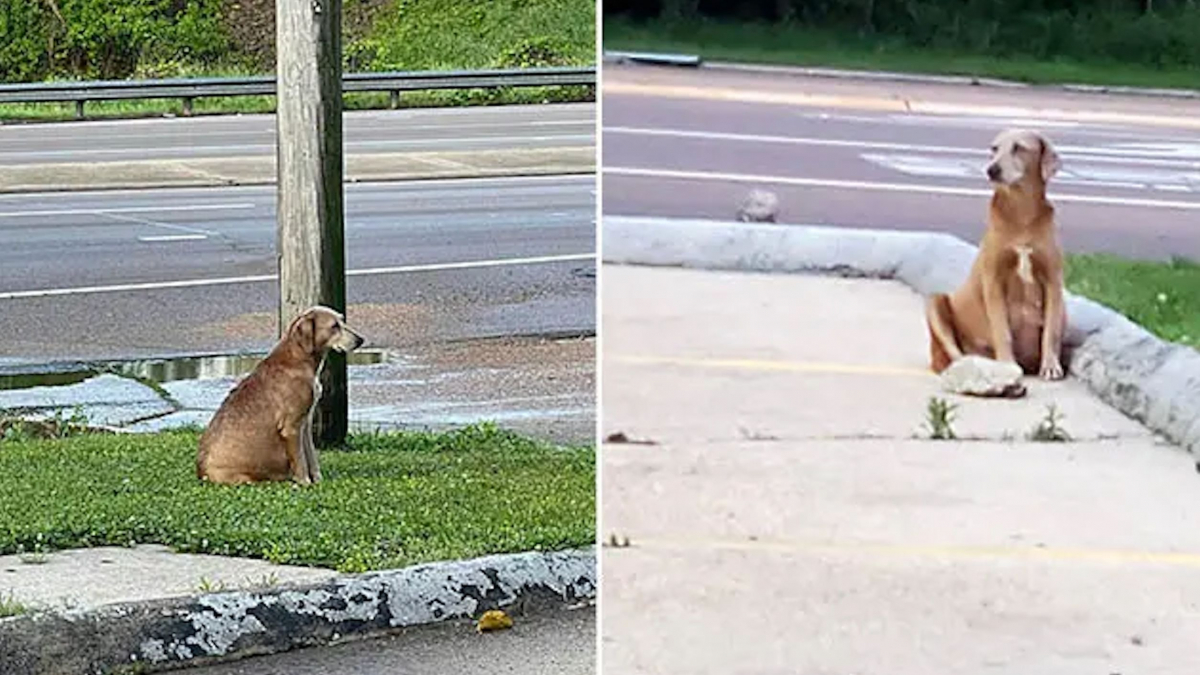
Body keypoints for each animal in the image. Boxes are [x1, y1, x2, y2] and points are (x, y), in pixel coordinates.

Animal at [196, 305, 362, 482]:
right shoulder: (291, 427)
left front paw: (317, 481)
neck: (298, 358)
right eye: (334, 326)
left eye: (342, 320)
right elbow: (300, 461)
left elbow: (311, 456)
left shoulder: (305, 423)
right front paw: (304, 482)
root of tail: (201, 472)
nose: (361, 340)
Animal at [926, 127, 1070, 391]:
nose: (991, 169)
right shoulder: (993, 280)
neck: (1022, 215)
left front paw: (1051, 366)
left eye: (1019, 148)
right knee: (954, 352)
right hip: (935, 302)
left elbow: (1051, 330)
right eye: (993, 148)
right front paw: (1007, 364)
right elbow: (1002, 329)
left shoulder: (1054, 281)